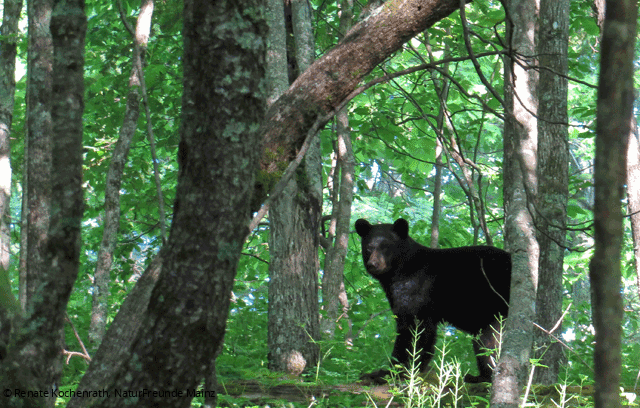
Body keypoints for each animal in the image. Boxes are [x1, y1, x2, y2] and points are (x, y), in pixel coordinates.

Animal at [355, 218, 511, 384]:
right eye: (368, 248)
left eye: (386, 246)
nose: (373, 264)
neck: (399, 272)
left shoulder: (416, 289)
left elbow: (414, 330)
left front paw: (391, 372)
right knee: (486, 341)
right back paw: (480, 377)